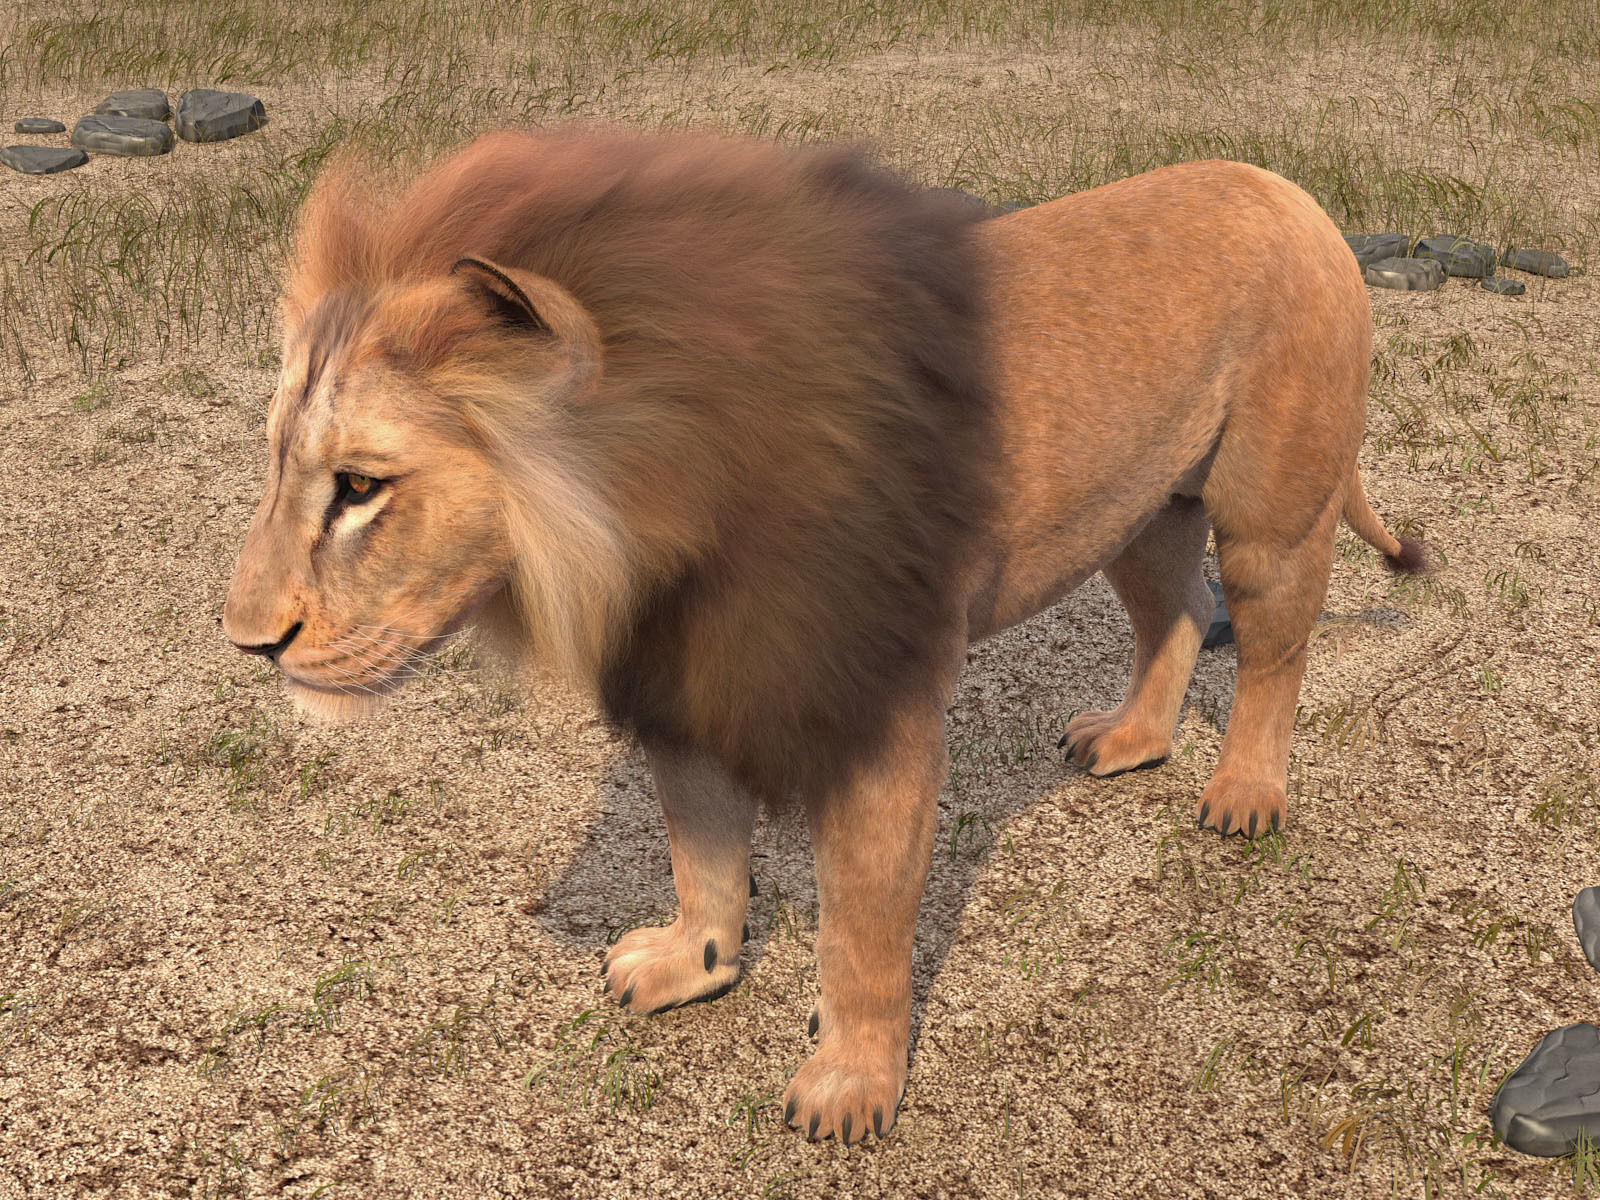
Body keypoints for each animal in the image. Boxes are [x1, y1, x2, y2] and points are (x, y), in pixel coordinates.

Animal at [222, 127, 1421, 1146]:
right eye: (277, 462)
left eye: (361, 488)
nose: (245, 642)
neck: (660, 526)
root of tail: (1285, 186)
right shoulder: (685, 684)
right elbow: (703, 851)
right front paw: (692, 964)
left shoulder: (875, 713)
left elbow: (863, 926)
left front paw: (849, 1087)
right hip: (1139, 509)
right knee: (1171, 610)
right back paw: (1132, 741)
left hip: (1271, 510)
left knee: (1274, 652)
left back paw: (1245, 794)